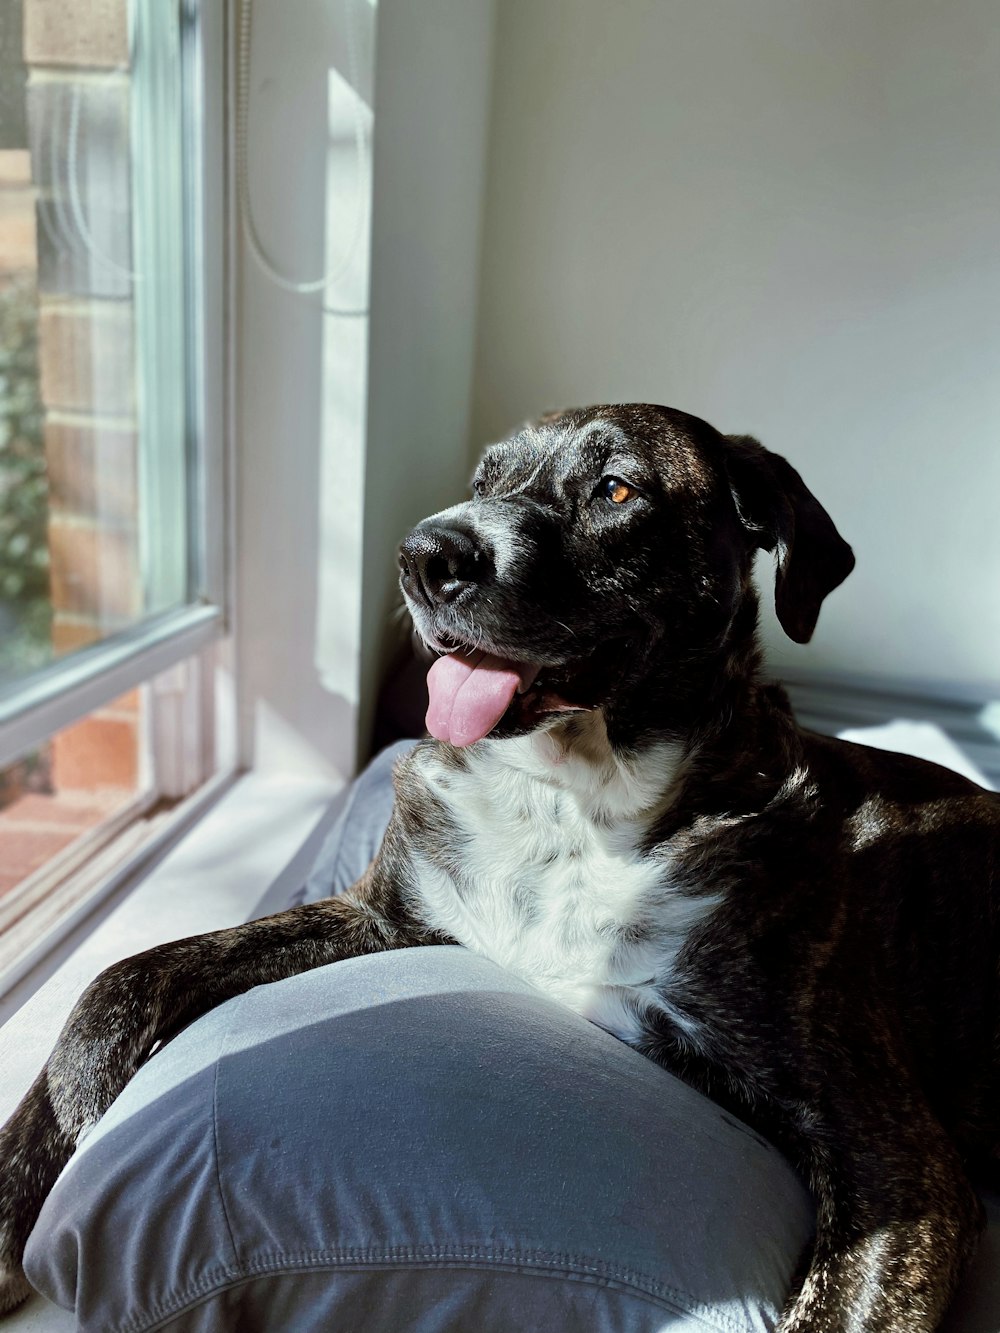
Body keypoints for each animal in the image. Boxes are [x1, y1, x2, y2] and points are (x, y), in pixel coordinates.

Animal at [1, 399, 1000, 1327]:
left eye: (615, 490)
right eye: (483, 480)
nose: (422, 556)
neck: (571, 802)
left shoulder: (892, 1155)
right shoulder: (381, 914)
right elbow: (125, 975)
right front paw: (37, 1157)